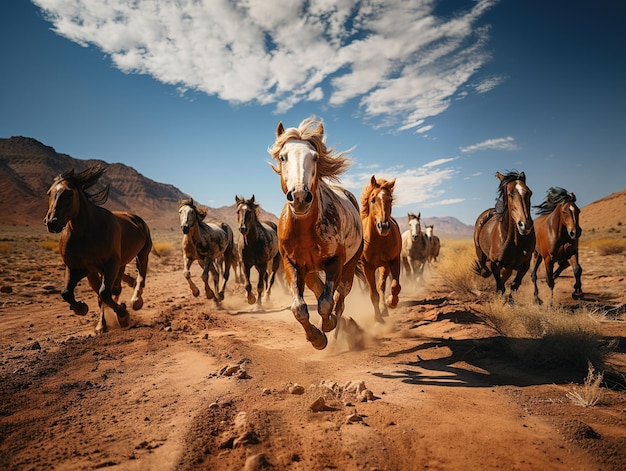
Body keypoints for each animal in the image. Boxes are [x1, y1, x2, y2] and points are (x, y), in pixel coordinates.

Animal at [43, 165, 152, 332]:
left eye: (69, 193)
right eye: (49, 193)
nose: (51, 222)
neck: (85, 233)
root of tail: (135, 218)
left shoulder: (111, 264)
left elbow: (105, 292)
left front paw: (123, 316)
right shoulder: (77, 268)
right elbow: (67, 293)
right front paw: (82, 309)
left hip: (142, 253)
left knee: (140, 277)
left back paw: (136, 300)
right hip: (109, 268)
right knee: (114, 289)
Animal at [266, 115, 360, 350]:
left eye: (315, 157)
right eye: (283, 157)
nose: (300, 196)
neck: (305, 231)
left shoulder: (336, 261)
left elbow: (327, 303)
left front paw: (327, 327)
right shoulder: (291, 264)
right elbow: (299, 308)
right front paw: (316, 338)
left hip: (349, 266)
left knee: (340, 297)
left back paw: (339, 329)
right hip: (309, 272)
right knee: (319, 290)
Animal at [358, 175, 402, 322]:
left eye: (390, 199)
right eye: (373, 200)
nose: (383, 226)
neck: (378, 240)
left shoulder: (394, 261)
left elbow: (395, 286)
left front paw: (391, 302)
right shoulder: (367, 267)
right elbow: (373, 294)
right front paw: (378, 318)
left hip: (384, 266)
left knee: (381, 285)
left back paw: (384, 307)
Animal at [470, 171, 532, 300]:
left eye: (529, 193)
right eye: (510, 194)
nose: (525, 225)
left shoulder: (525, 265)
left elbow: (514, 285)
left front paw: (509, 301)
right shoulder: (496, 263)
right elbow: (500, 286)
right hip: (480, 252)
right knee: (484, 268)